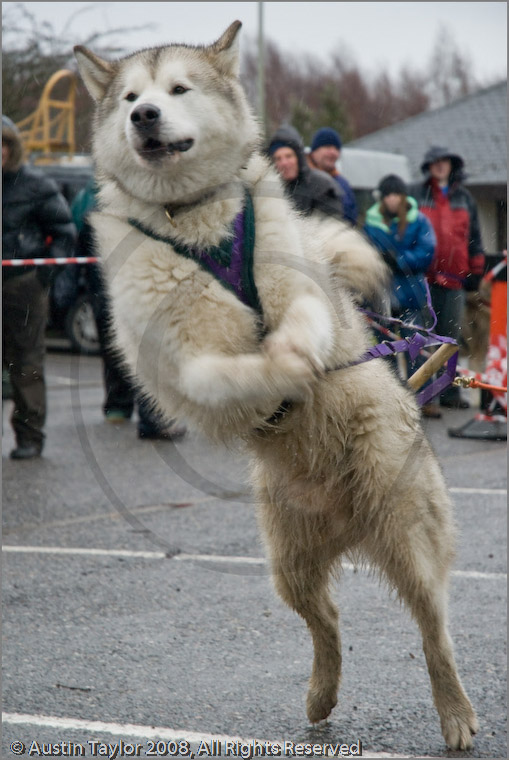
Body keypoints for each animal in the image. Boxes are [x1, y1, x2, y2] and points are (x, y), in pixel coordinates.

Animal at [74, 20, 476, 752]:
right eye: (130, 98)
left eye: (178, 89)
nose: (145, 116)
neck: (194, 221)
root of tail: (349, 521)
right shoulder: (176, 361)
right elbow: (216, 372)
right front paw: (275, 371)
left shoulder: (300, 285)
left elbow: (306, 319)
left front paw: (296, 353)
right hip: (286, 563)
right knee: (326, 623)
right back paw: (321, 695)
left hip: (406, 530)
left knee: (434, 629)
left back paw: (454, 712)